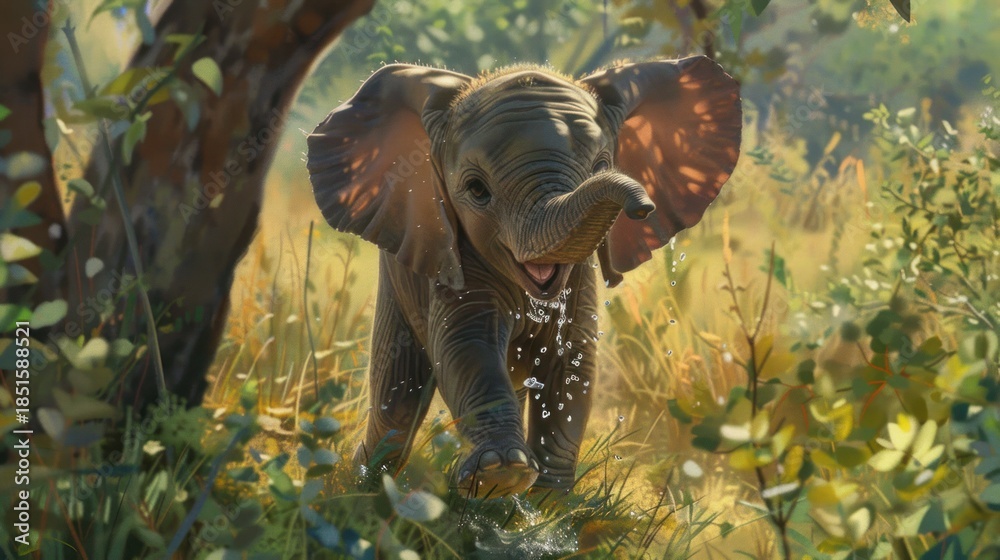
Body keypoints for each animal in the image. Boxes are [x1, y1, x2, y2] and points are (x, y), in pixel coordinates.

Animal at [306, 56, 741, 497]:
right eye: (476, 190)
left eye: (603, 166)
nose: (643, 207)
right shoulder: (453, 259)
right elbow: (466, 346)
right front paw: (502, 473)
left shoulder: (580, 281)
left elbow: (574, 366)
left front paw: (547, 499)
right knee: (398, 397)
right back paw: (359, 485)